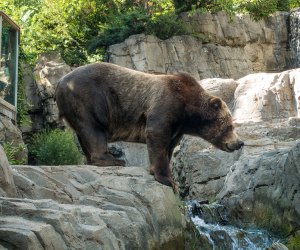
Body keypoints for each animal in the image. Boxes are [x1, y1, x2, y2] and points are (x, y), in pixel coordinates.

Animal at [55, 62, 244, 188]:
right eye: (230, 126)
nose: (239, 142)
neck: (188, 111)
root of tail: (60, 82)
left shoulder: (178, 126)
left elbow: (169, 146)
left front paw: (171, 179)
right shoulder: (166, 103)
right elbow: (157, 135)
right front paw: (165, 179)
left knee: (83, 134)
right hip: (88, 98)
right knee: (94, 129)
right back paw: (113, 160)